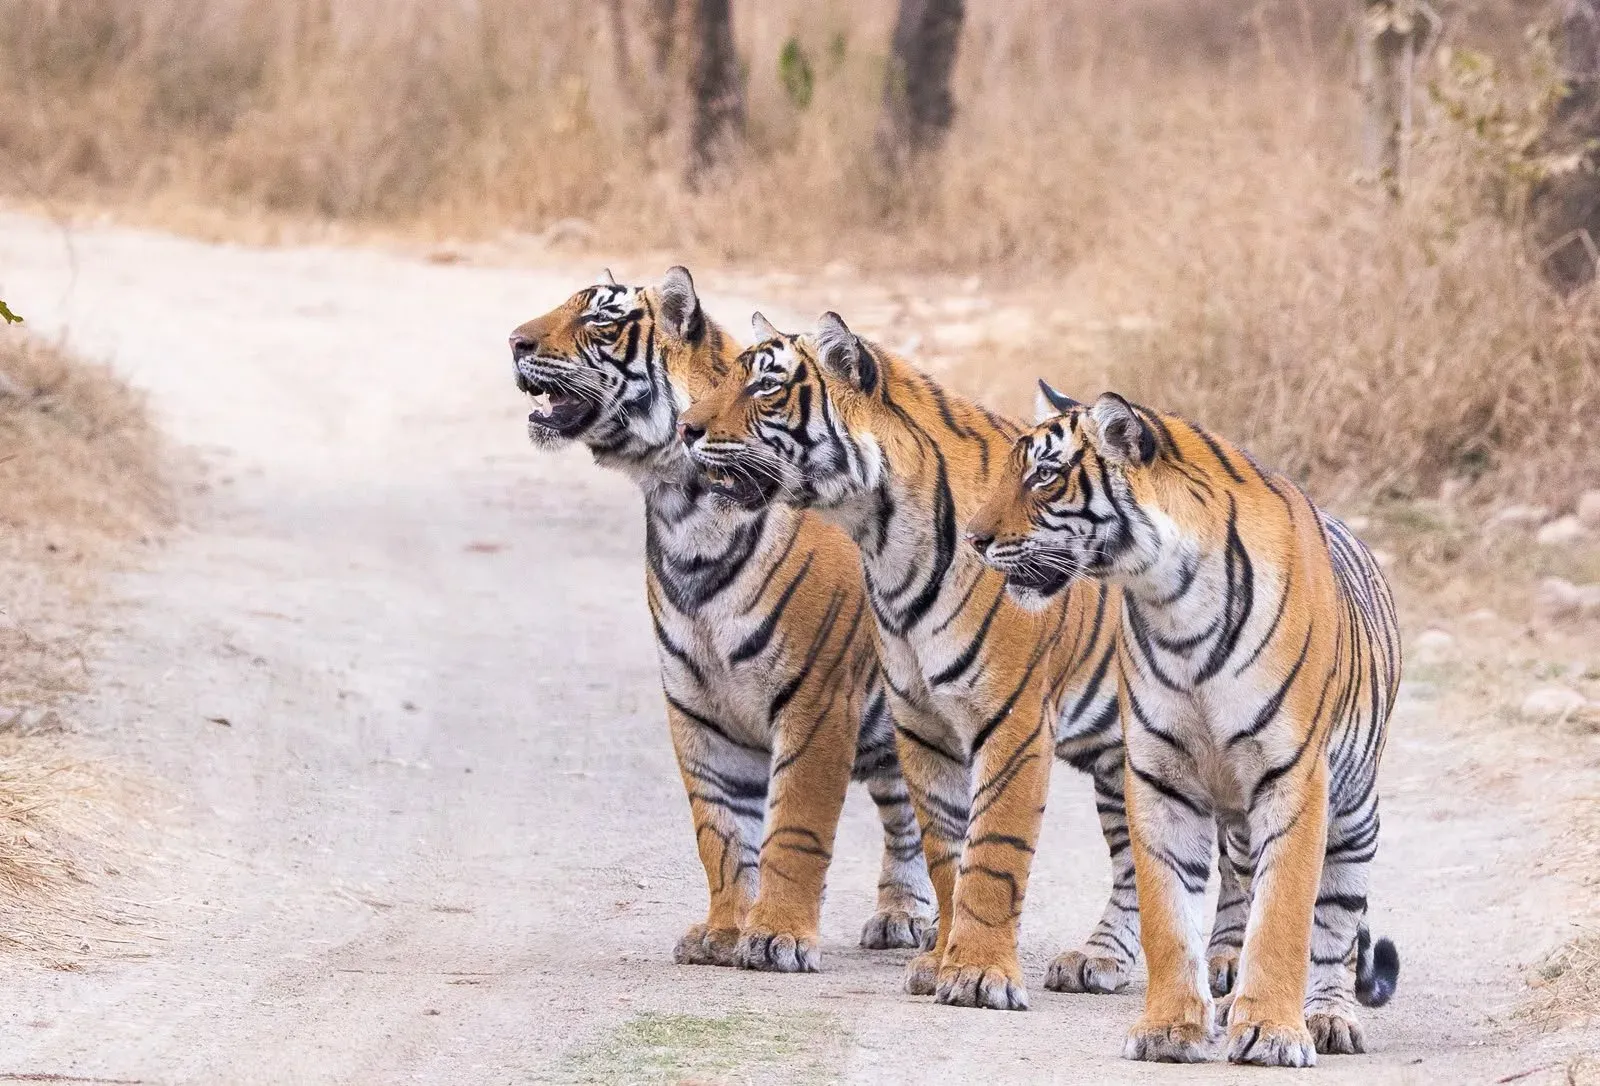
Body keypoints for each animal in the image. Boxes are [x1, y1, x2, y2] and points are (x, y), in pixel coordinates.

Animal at [508, 269, 935, 973]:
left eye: (599, 320)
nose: (514, 342)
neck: (683, 507)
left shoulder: (817, 699)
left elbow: (794, 826)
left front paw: (778, 937)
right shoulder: (696, 704)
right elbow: (723, 833)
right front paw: (725, 933)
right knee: (908, 812)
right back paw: (904, 916)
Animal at [676, 311, 1250, 1010]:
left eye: (766, 387)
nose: (685, 429)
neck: (883, 541)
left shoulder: (1014, 721)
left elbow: (993, 850)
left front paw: (978, 975)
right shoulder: (923, 722)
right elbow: (947, 851)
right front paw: (940, 962)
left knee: (1238, 858)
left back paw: (1225, 963)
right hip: (1125, 760)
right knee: (1135, 865)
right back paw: (1097, 959)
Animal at [966, 381, 1402, 1066]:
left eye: (1045, 475)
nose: (973, 539)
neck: (1172, 602)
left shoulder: (1294, 780)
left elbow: (1284, 918)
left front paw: (1273, 1033)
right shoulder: (1160, 777)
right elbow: (1167, 915)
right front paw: (1171, 1029)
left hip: (1354, 814)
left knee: (1332, 925)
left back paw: (1326, 1017)